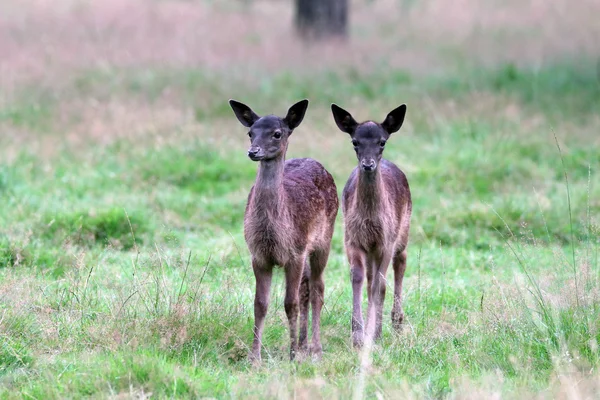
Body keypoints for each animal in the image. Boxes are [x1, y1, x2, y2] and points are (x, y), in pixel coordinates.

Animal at [229, 99, 340, 362]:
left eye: (277, 133)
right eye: (250, 133)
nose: (253, 151)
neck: (274, 233)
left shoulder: (295, 252)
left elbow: (290, 303)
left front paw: (291, 356)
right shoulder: (259, 255)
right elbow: (260, 304)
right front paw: (254, 357)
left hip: (324, 239)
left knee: (317, 288)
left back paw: (315, 348)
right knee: (306, 287)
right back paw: (303, 343)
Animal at [330, 102, 410, 346]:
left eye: (382, 141)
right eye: (355, 141)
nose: (368, 164)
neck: (370, 221)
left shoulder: (386, 241)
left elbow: (380, 286)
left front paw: (376, 334)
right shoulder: (352, 238)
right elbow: (357, 278)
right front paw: (358, 334)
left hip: (403, 230)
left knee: (400, 263)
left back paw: (397, 321)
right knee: (369, 277)